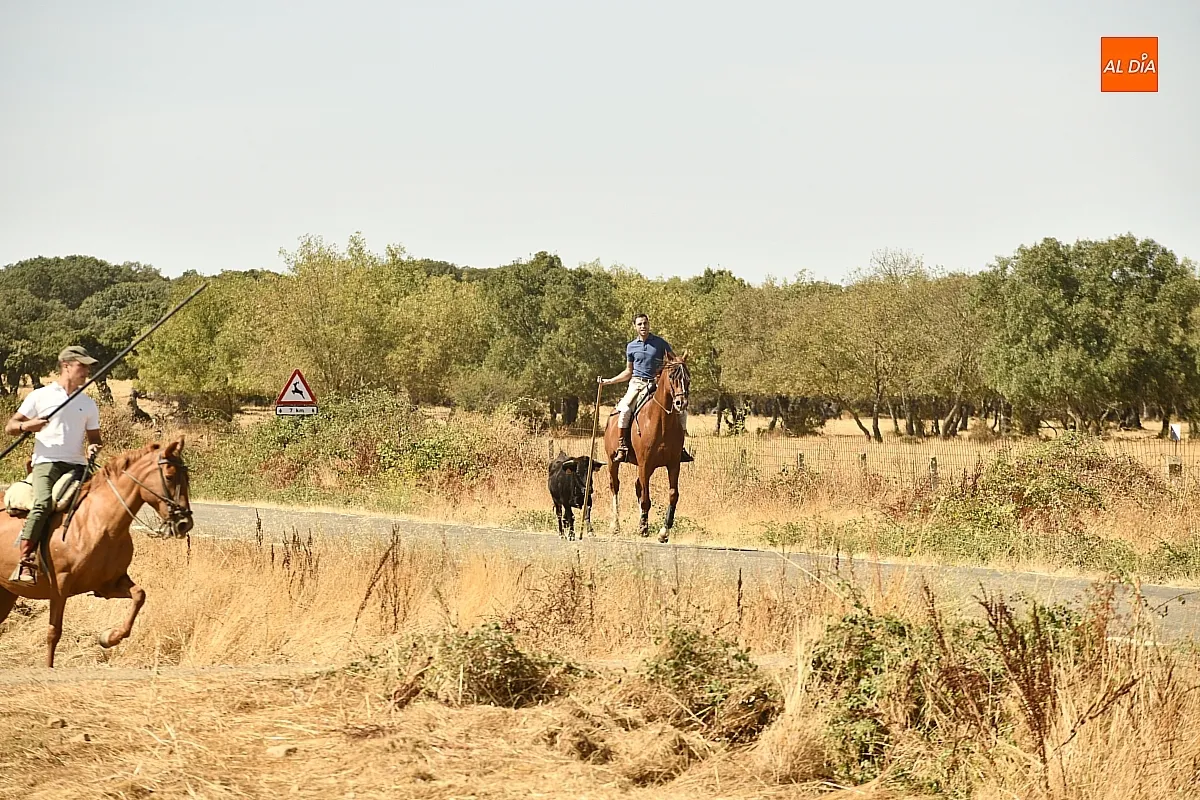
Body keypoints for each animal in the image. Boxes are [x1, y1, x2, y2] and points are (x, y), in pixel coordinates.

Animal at [0, 437, 193, 667]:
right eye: (170, 476)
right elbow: (54, 633)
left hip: (6, 592)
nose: (184, 523)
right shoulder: (60, 587)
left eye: (187, 477)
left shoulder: (108, 584)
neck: (99, 522)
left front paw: (109, 638)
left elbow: (140, 595)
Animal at [603, 352, 690, 543]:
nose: (681, 403)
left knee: (637, 487)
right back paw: (615, 525)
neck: (662, 422)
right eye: (671, 376)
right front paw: (643, 528)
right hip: (613, 461)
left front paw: (664, 532)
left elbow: (673, 495)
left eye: (688, 378)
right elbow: (645, 498)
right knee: (615, 486)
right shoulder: (645, 464)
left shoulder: (673, 465)